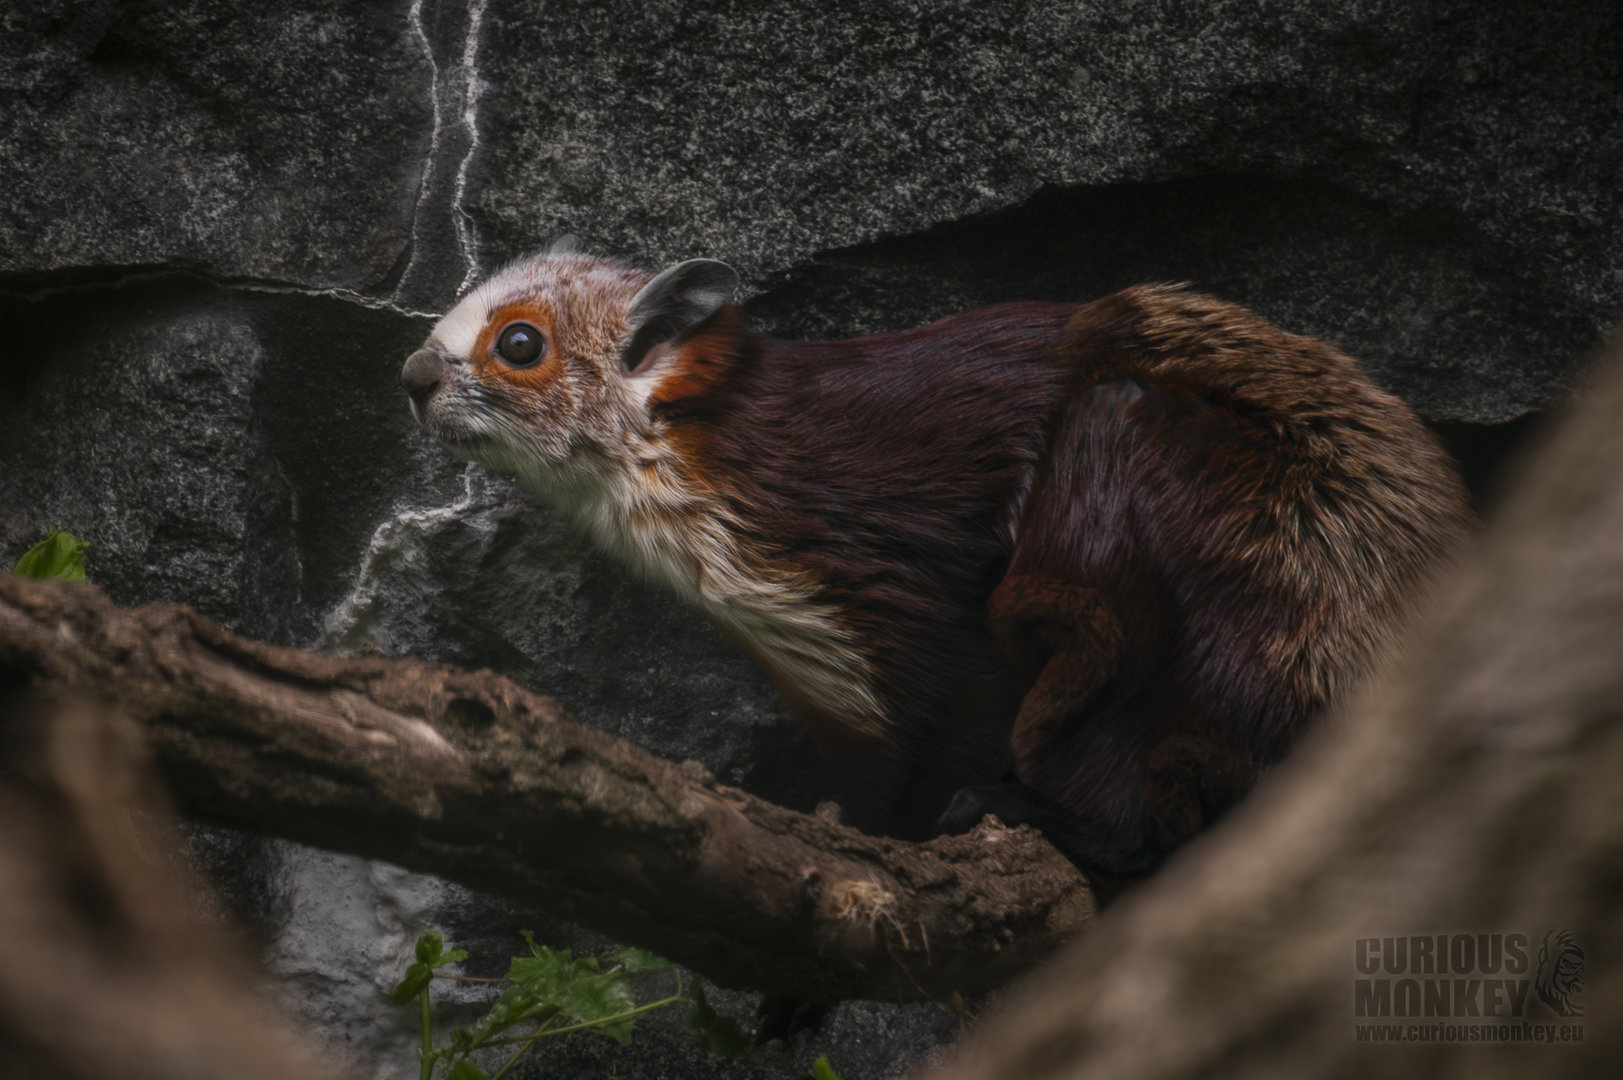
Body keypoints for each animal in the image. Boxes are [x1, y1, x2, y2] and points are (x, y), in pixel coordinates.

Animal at [400, 242, 1473, 886]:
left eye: (520, 344)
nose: (410, 378)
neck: (695, 453)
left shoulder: (914, 627)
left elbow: (913, 785)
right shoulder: (825, 680)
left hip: (1140, 468)